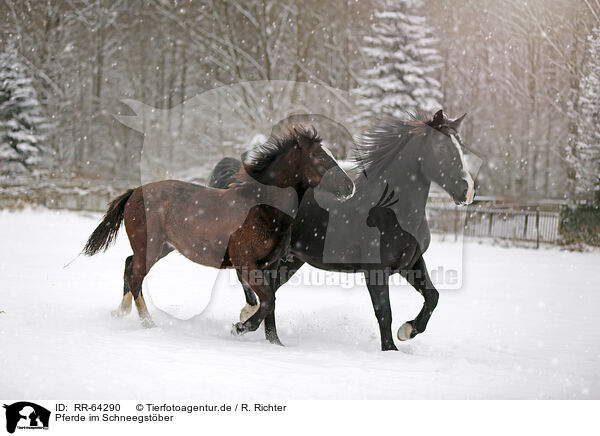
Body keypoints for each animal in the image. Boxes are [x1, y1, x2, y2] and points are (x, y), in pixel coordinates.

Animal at [85, 126, 356, 338]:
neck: (261, 209)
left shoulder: (267, 265)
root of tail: (134, 192)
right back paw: (148, 324)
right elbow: (267, 300)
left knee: (129, 265)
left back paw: (120, 312)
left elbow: (266, 301)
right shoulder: (246, 263)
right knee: (135, 276)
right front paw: (240, 327)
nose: (349, 187)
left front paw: (250, 324)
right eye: (320, 157)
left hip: (162, 248)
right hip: (150, 247)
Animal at [210, 110, 474, 350]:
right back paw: (249, 320)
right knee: (256, 287)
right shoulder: (375, 270)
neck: (390, 211)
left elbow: (433, 297)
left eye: (461, 148)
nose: (468, 191)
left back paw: (272, 339)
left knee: (270, 294)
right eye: (442, 148)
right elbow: (384, 312)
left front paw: (407, 331)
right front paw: (391, 349)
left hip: (292, 260)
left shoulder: (410, 262)